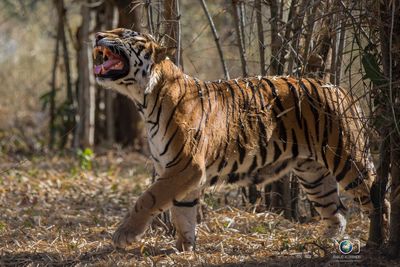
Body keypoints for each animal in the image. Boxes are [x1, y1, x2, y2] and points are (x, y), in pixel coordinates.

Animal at [94, 28, 378, 252]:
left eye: (125, 34)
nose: (96, 35)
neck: (144, 99)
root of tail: (340, 89)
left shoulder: (185, 165)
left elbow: (149, 198)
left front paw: (124, 235)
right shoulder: (178, 171)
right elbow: (182, 213)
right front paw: (184, 248)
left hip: (349, 160)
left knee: (375, 198)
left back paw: (375, 241)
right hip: (314, 174)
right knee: (337, 212)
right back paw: (326, 243)